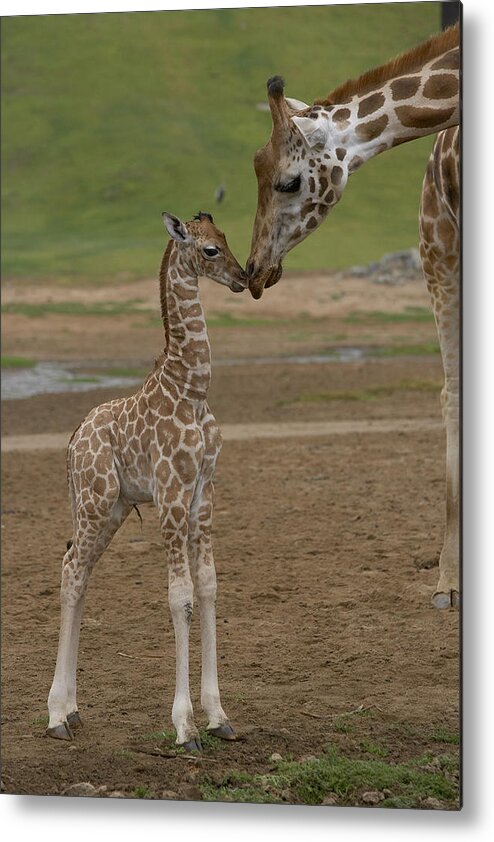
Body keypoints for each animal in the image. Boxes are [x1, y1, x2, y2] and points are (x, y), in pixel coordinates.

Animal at [47, 210, 247, 748]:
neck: (193, 390)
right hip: (94, 501)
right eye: (210, 250)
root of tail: (72, 441)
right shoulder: (172, 492)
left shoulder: (204, 492)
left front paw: (219, 717)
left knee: (79, 572)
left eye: (226, 238)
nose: (243, 278)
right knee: (71, 571)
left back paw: (72, 711)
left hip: (112, 508)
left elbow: (208, 587)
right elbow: (179, 597)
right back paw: (55, 716)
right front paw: (184, 726)